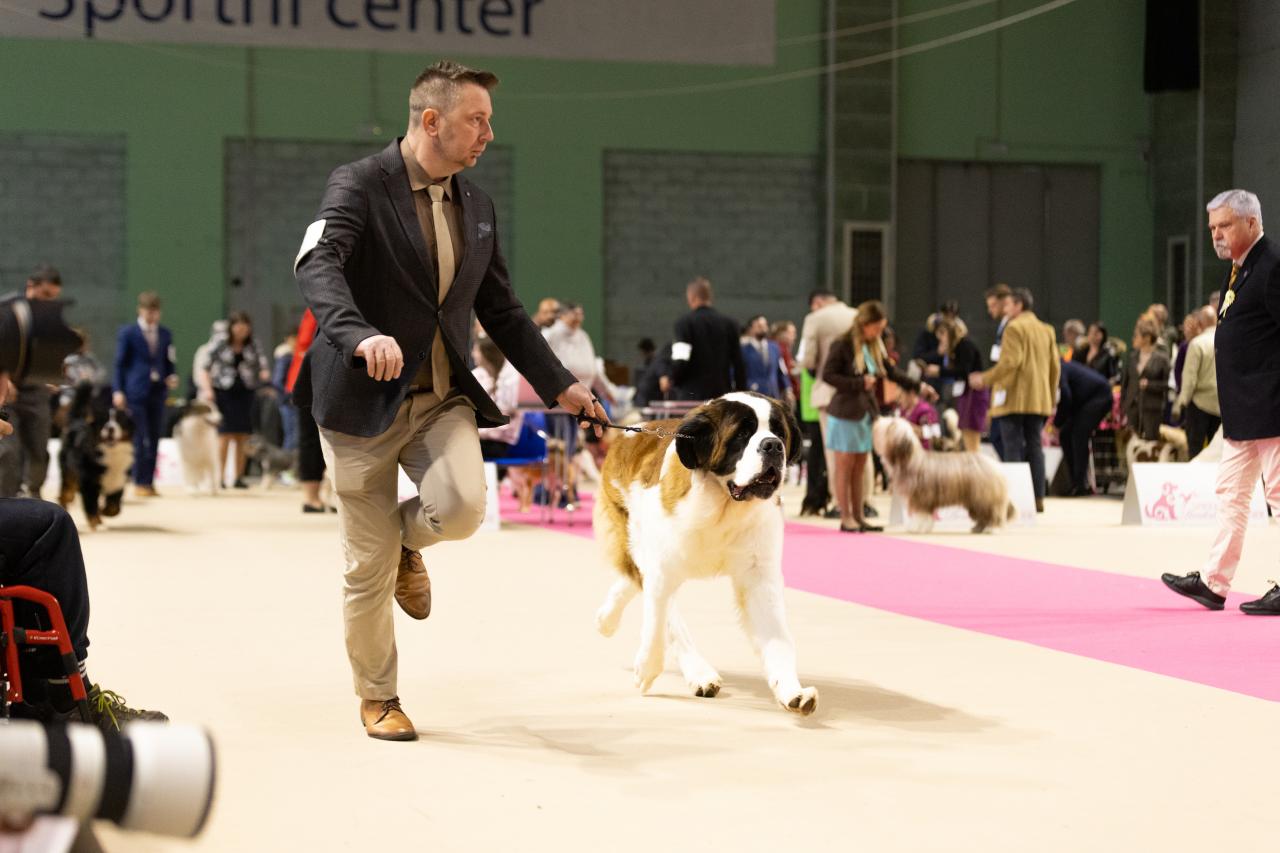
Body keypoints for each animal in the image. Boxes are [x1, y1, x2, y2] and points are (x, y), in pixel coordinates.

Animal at [58, 382, 134, 529]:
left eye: (119, 420)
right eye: (104, 421)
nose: (110, 428)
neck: (111, 453)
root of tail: (77, 420)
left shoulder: (118, 478)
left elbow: (114, 505)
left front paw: (106, 511)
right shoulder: (89, 480)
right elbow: (91, 504)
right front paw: (95, 522)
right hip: (69, 466)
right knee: (66, 488)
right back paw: (66, 500)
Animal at [592, 391, 818, 715]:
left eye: (779, 431)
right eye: (742, 434)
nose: (773, 445)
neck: (724, 503)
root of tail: (632, 429)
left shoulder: (759, 579)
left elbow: (778, 640)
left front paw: (793, 692)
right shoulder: (663, 567)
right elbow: (658, 622)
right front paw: (647, 669)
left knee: (634, 581)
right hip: (632, 532)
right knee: (653, 596)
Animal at [872, 416, 1014, 533]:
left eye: (891, 424)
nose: (878, 419)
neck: (909, 459)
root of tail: (994, 464)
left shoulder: (922, 497)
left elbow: (921, 516)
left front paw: (916, 528)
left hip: (984, 497)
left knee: (993, 513)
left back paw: (993, 529)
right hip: (976, 500)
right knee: (983, 515)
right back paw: (978, 528)